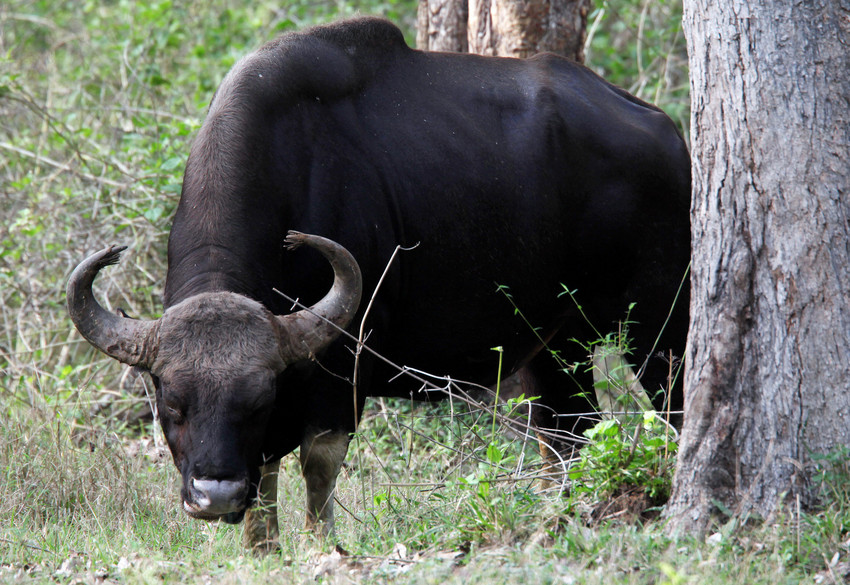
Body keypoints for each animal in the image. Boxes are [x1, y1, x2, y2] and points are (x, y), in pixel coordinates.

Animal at [67, 17, 690, 552]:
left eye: (257, 401)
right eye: (172, 403)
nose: (214, 494)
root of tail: (669, 134)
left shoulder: (340, 368)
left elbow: (317, 463)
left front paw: (320, 544)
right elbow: (265, 473)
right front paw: (262, 549)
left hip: (660, 325)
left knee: (671, 405)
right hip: (557, 346)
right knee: (567, 435)